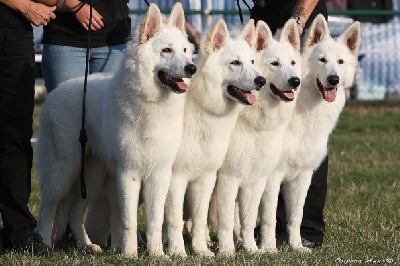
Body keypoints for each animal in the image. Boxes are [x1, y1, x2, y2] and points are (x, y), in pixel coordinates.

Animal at [36, 1, 196, 256]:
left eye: (184, 50)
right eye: (167, 51)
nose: (192, 68)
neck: (152, 104)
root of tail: (55, 92)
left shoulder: (160, 174)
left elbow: (155, 220)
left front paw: (157, 254)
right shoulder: (128, 173)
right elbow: (128, 220)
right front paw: (130, 254)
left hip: (92, 177)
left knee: (74, 212)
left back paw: (87, 245)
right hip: (63, 171)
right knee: (48, 208)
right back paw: (44, 245)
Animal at [162, 18, 266, 256]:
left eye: (252, 61)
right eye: (235, 63)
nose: (261, 80)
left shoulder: (209, 177)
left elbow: (207, 219)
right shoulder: (176, 178)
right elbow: (175, 218)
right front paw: (179, 251)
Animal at [214, 18, 302, 256]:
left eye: (293, 62)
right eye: (275, 64)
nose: (295, 81)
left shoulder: (258, 176)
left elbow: (250, 217)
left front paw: (254, 248)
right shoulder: (231, 177)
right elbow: (236, 218)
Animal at [258, 14, 360, 251]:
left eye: (341, 62)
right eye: (322, 60)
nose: (334, 79)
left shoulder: (302, 175)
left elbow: (296, 216)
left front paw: (296, 246)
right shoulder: (272, 176)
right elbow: (269, 217)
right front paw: (269, 248)